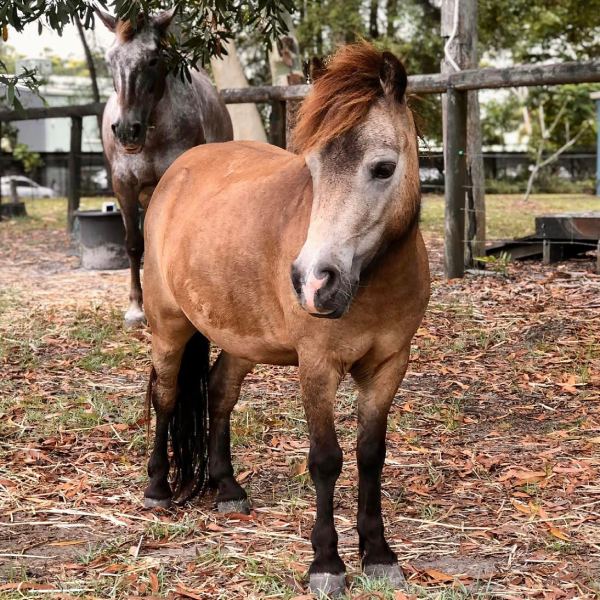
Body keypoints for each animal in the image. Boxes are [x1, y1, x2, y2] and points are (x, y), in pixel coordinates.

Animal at [96, 9, 232, 326]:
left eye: (153, 58)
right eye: (111, 59)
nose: (126, 131)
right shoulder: (124, 185)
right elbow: (135, 243)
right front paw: (136, 308)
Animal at [143, 44, 428, 596]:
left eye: (383, 168)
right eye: (312, 169)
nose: (314, 281)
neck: (371, 282)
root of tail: (180, 169)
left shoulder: (389, 365)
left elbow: (370, 454)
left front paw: (379, 554)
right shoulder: (317, 367)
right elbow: (326, 459)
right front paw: (327, 564)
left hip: (239, 338)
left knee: (219, 393)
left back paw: (227, 489)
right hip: (168, 326)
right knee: (165, 396)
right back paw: (157, 488)